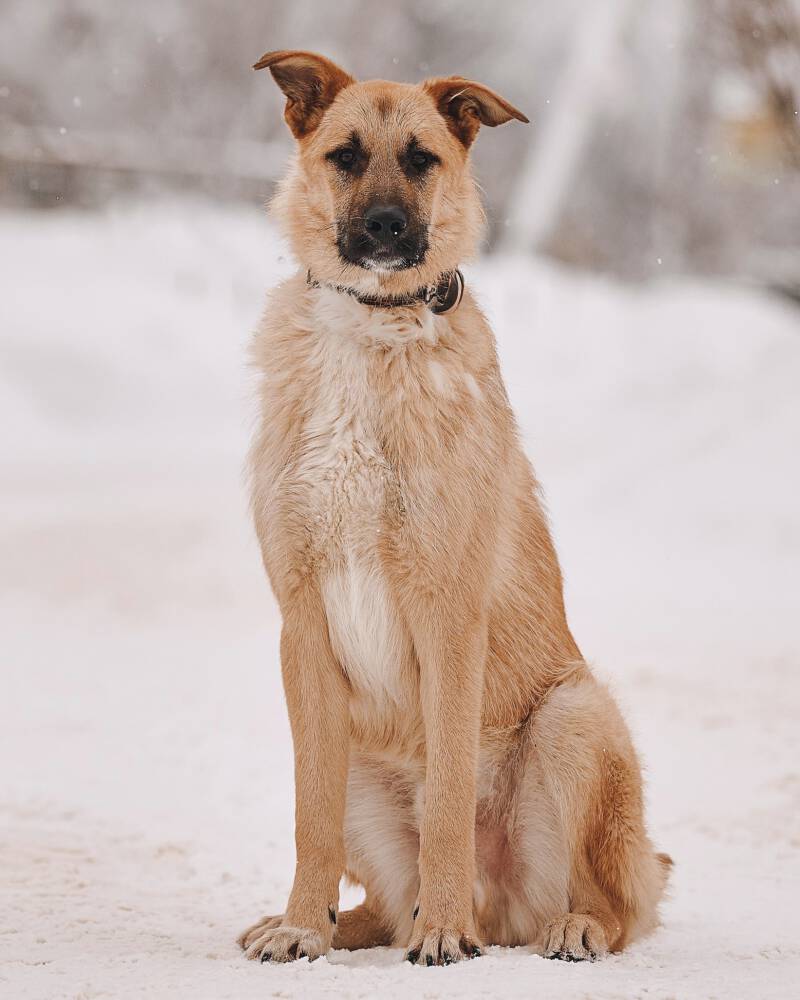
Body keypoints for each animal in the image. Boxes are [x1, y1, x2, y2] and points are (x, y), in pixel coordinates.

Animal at [238, 50, 671, 967]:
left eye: (422, 160)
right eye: (345, 157)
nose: (387, 228)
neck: (372, 329)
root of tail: (501, 908)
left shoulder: (448, 617)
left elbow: (444, 803)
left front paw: (443, 935)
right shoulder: (302, 626)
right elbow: (308, 817)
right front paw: (301, 923)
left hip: (575, 715)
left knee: (614, 904)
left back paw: (552, 924)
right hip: (355, 756)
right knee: (375, 897)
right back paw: (338, 923)